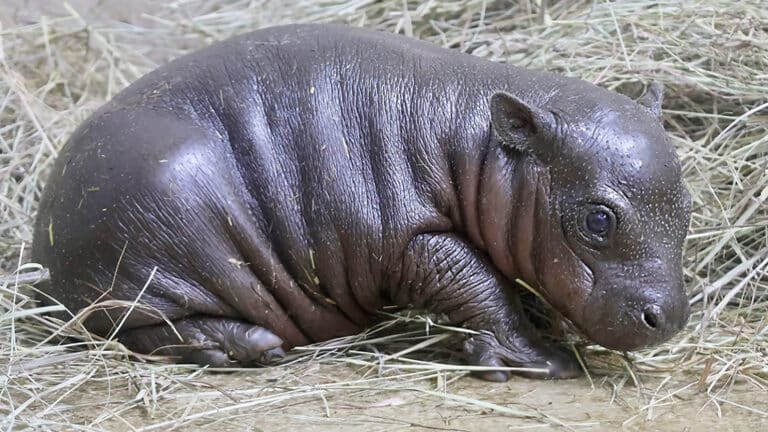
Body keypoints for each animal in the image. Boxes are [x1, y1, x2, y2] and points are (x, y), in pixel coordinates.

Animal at [32, 23, 691, 381]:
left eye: (687, 206)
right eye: (598, 218)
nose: (672, 318)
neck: (477, 143)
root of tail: (42, 233)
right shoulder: (410, 241)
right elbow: (479, 283)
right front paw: (545, 359)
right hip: (162, 231)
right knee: (146, 330)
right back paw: (251, 347)